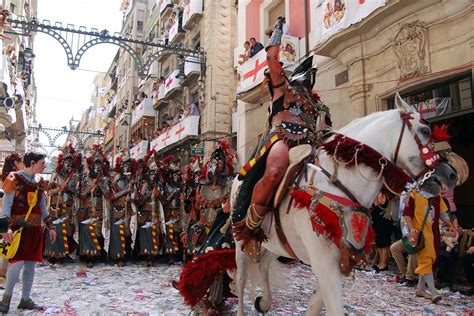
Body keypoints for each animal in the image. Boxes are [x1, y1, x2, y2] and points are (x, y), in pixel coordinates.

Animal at [231, 97, 462, 316]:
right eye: (425, 131)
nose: (451, 175)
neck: (339, 182)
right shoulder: (324, 261)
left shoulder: (333, 262)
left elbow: (316, 305)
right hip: (240, 241)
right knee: (242, 278)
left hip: (274, 242)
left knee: (263, 264)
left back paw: (265, 302)